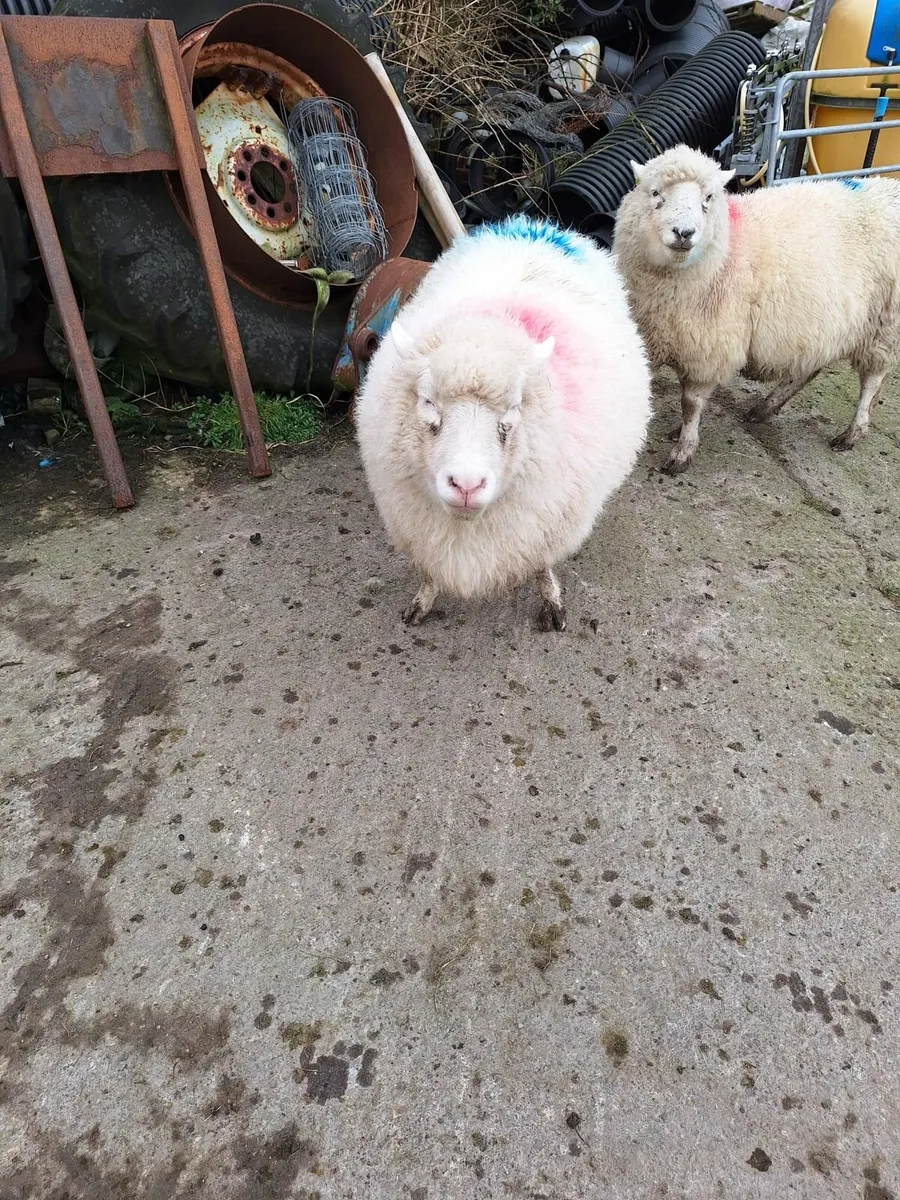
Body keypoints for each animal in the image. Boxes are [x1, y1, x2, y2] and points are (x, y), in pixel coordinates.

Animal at [353, 214, 652, 630]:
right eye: (427, 401)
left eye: (513, 409)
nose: (466, 484)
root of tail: (534, 225)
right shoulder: (418, 528)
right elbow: (429, 572)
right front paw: (422, 600)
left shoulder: (546, 524)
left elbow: (542, 564)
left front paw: (552, 602)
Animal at [612, 144, 900, 474]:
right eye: (655, 192)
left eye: (708, 198)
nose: (684, 233)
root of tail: (890, 188)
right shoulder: (654, 334)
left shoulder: (708, 348)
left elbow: (691, 404)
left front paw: (682, 452)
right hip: (825, 324)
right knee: (810, 367)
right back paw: (766, 407)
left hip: (884, 324)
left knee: (872, 380)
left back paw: (852, 433)